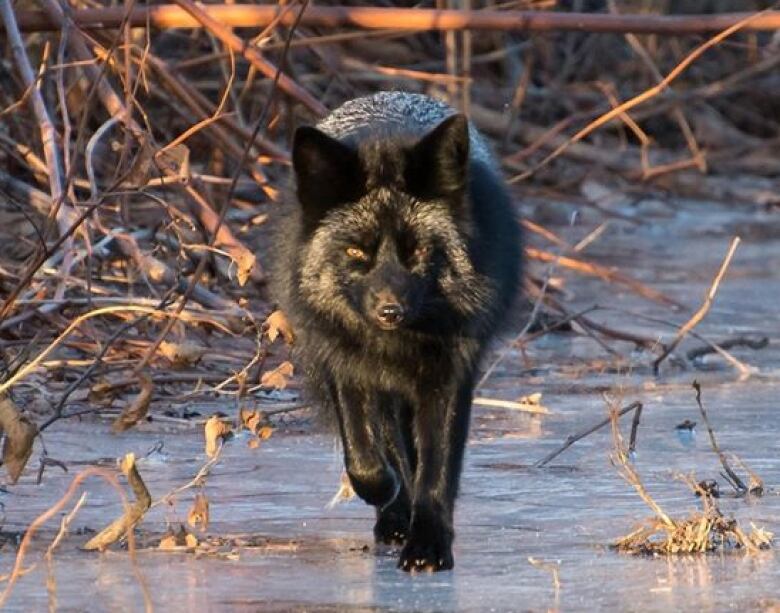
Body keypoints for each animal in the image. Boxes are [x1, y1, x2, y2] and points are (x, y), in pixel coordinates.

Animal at [272, 91, 520, 568]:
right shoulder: (346, 363)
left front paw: (429, 542)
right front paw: (384, 493)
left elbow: (436, 468)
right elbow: (366, 453)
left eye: (419, 251)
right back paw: (392, 513)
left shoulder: (450, 375)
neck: (398, 344)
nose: (390, 310)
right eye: (356, 251)